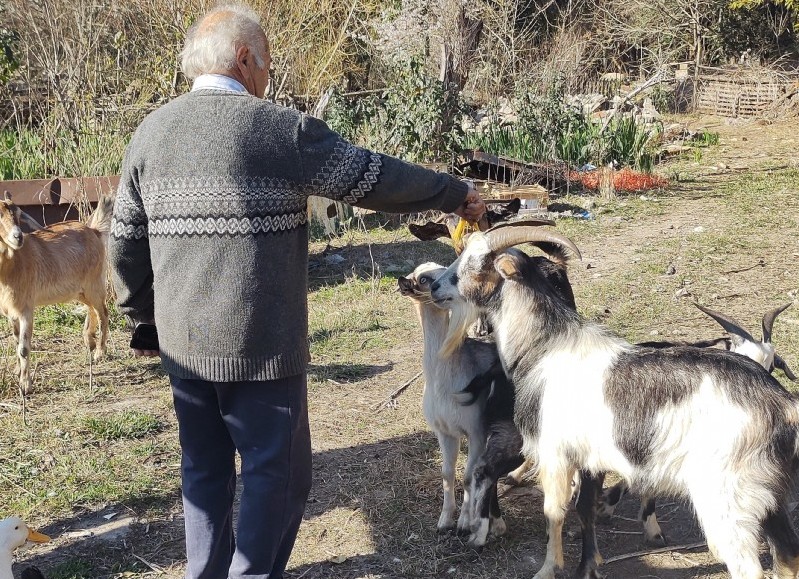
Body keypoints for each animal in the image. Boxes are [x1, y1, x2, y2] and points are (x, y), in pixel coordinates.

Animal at [0, 194, 112, 394]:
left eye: (19, 214)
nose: (18, 237)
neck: (12, 264)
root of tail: (94, 231)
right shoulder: (11, 312)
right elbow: (15, 341)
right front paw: (17, 371)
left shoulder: (26, 309)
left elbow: (23, 348)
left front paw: (25, 385)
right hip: (80, 290)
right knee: (92, 309)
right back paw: (88, 338)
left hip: (94, 284)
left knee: (104, 313)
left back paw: (99, 352)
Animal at [434, 227, 799, 579]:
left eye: (476, 262)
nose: (434, 286)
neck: (544, 347)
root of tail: (781, 403)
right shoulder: (590, 459)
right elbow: (584, 508)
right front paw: (588, 564)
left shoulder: (555, 454)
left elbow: (554, 512)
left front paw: (548, 569)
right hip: (771, 497)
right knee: (788, 557)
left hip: (727, 498)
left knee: (747, 565)